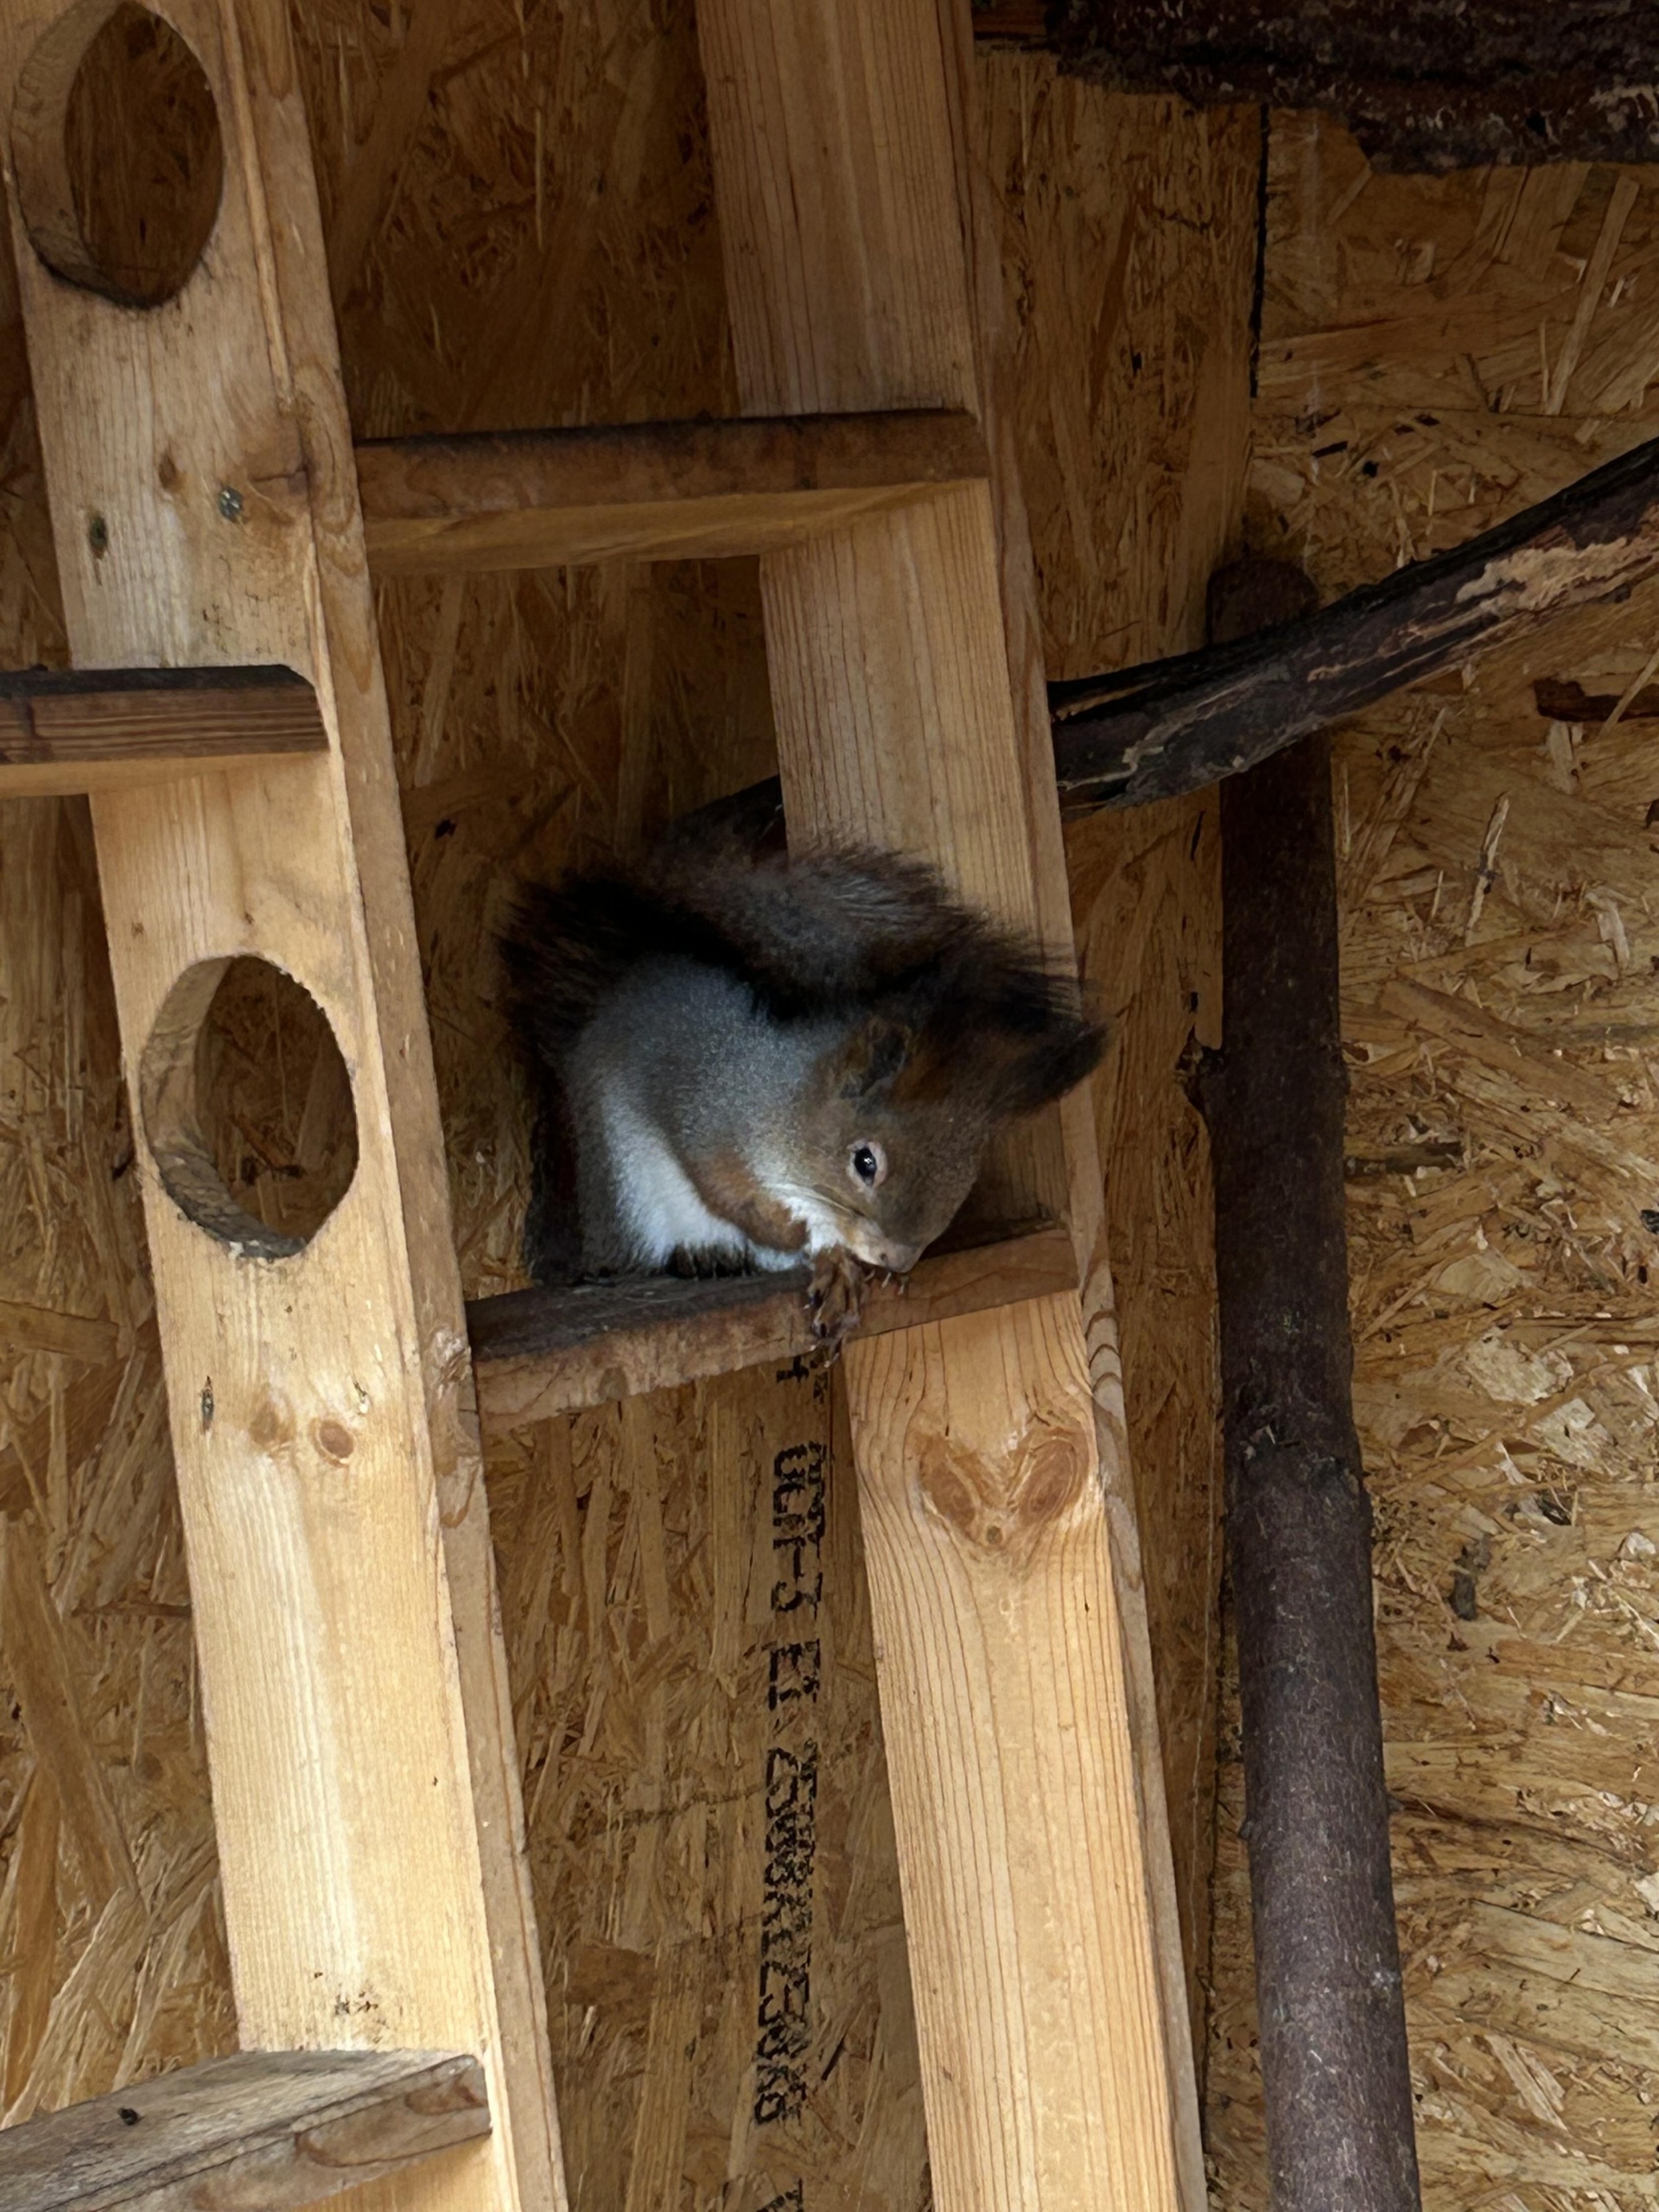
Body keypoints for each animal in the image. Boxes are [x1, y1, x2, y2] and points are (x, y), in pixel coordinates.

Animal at [504, 814, 1106, 1327]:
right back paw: (705, 1252)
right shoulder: (710, 1116)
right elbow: (729, 1193)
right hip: (626, 1189)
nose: (897, 1257)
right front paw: (794, 1235)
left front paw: (849, 1264)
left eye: (968, 1171)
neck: (786, 1100)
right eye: (865, 1162)